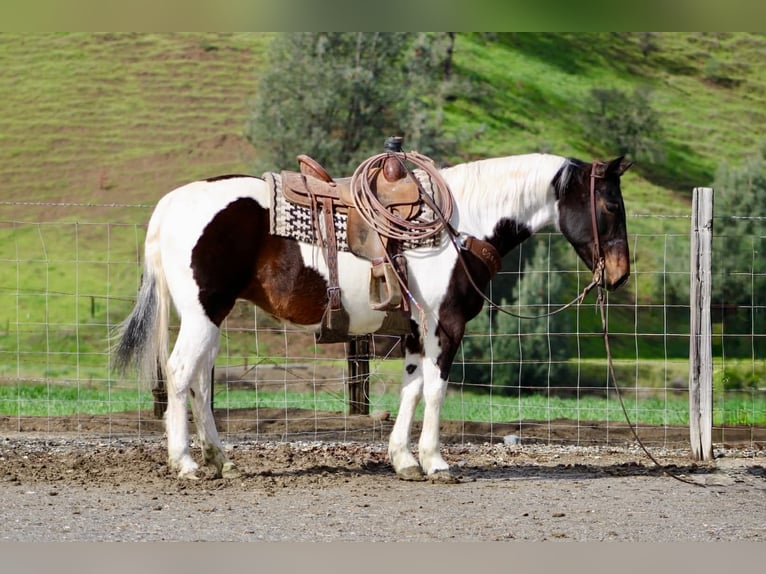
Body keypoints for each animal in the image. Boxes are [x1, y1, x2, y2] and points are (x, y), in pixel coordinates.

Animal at [114, 152, 631, 481]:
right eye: (610, 204)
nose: (620, 273)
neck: (458, 225)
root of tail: (171, 204)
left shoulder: (417, 332)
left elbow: (412, 388)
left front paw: (404, 460)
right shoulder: (445, 326)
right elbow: (436, 390)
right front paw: (436, 462)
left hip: (212, 317)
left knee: (199, 381)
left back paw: (221, 460)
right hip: (203, 313)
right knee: (181, 372)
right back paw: (185, 463)